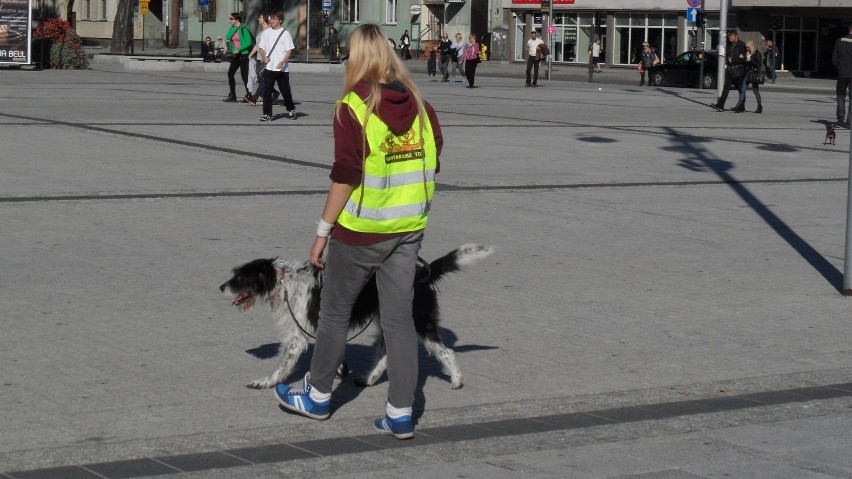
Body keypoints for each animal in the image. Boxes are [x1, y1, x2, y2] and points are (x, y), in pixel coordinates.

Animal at [221, 244, 492, 390]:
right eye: (234, 275)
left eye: (240, 278)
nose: (221, 287)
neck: (285, 283)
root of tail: (422, 274)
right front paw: (340, 370)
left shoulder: (298, 337)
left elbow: (282, 366)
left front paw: (265, 382)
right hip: (388, 321)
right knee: (385, 355)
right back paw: (368, 379)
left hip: (419, 322)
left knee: (446, 352)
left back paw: (456, 380)